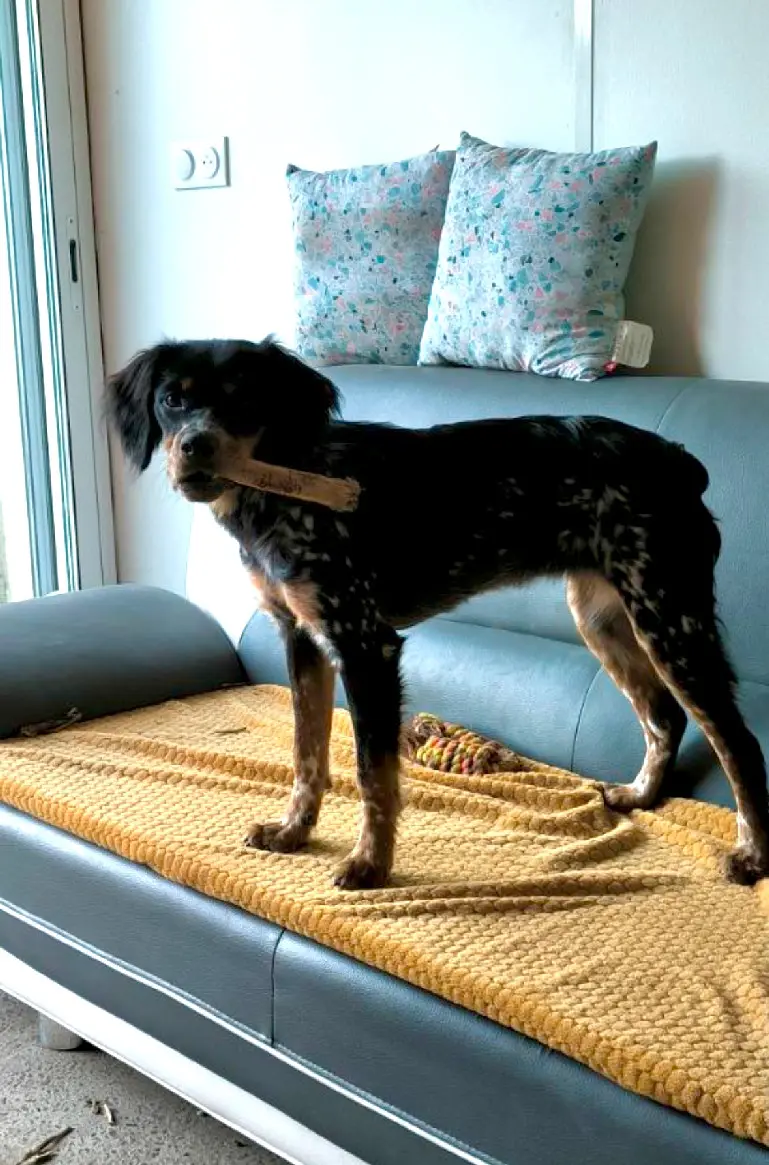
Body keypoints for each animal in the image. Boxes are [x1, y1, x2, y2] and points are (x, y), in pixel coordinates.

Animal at [106, 337, 769, 890]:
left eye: (244, 401)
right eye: (172, 400)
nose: (194, 448)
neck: (287, 485)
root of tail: (680, 460)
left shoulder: (365, 644)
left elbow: (372, 772)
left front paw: (370, 864)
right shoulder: (301, 637)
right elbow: (306, 752)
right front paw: (294, 831)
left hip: (669, 616)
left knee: (738, 743)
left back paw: (753, 854)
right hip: (602, 616)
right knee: (664, 716)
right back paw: (641, 796)